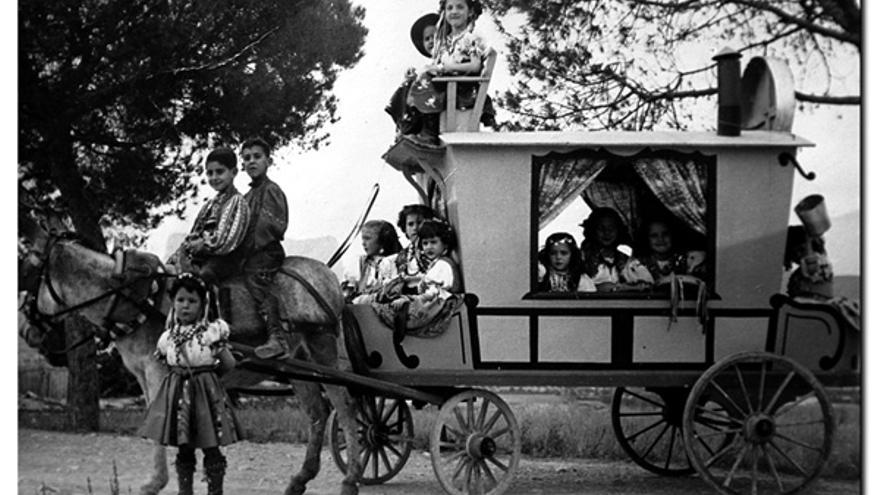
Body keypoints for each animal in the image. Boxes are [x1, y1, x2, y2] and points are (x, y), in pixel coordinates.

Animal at [20, 222, 364, 495]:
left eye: (27, 272)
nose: (25, 330)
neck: (134, 298)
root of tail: (330, 277)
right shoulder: (146, 375)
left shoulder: (158, 372)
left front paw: (154, 483)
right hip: (297, 366)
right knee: (318, 414)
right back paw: (301, 478)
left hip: (324, 354)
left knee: (346, 408)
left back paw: (351, 478)